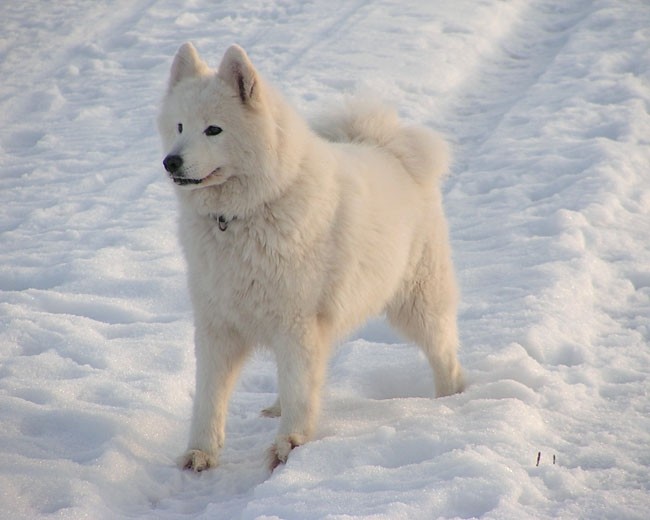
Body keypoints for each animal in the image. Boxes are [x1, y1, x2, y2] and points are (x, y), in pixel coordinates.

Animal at [156, 41, 460, 472]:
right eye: (180, 127)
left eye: (213, 129)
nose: (171, 162)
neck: (242, 215)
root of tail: (389, 148)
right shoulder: (218, 324)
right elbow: (209, 397)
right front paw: (200, 453)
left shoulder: (297, 323)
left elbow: (300, 388)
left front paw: (291, 445)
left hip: (418, 303)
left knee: (444, 353)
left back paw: (452, 400)